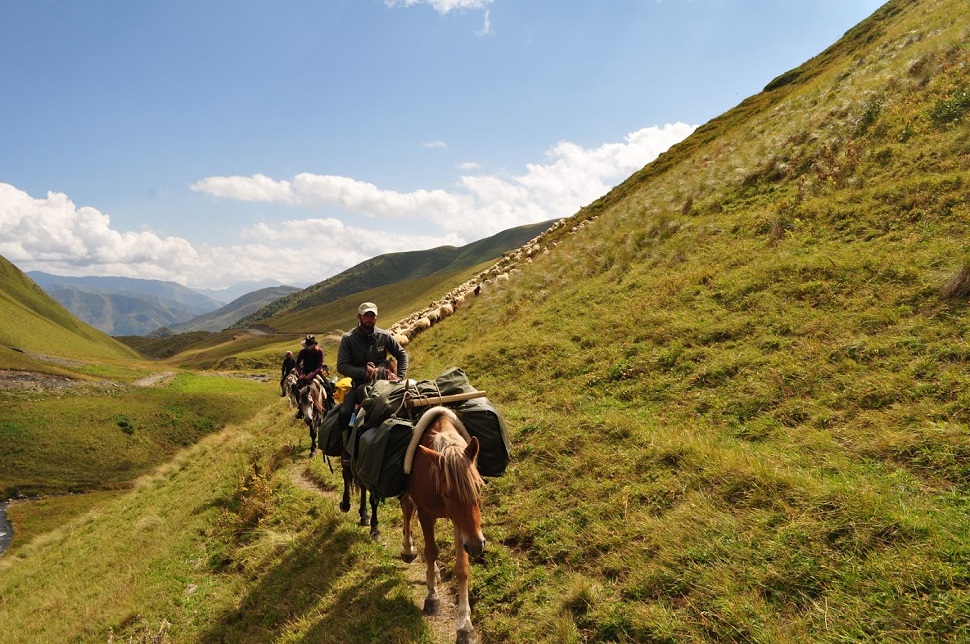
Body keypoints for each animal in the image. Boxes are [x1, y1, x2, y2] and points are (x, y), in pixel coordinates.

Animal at [398, 408, 482, 644]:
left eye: (479, 487)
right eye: (447, 493)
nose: (477, 546)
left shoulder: (461, 524)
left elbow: (462, 568)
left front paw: (465, 625)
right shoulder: (426, 515)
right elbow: (431, 551)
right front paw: (432, 597)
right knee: (407, 506)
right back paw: (408, 549)